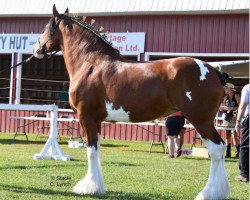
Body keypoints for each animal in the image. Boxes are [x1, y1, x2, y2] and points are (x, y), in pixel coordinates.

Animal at [33, 5, 230, 200]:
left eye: (45, 27)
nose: (36, 48)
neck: (90, 64)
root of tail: (213, 72)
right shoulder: (96, 120)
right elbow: (97, 150)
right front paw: (98, 186)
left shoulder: (85, 117)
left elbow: (90, 151)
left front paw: (88, 187)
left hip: (200, 120)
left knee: (217, 149)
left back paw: (208, 193)